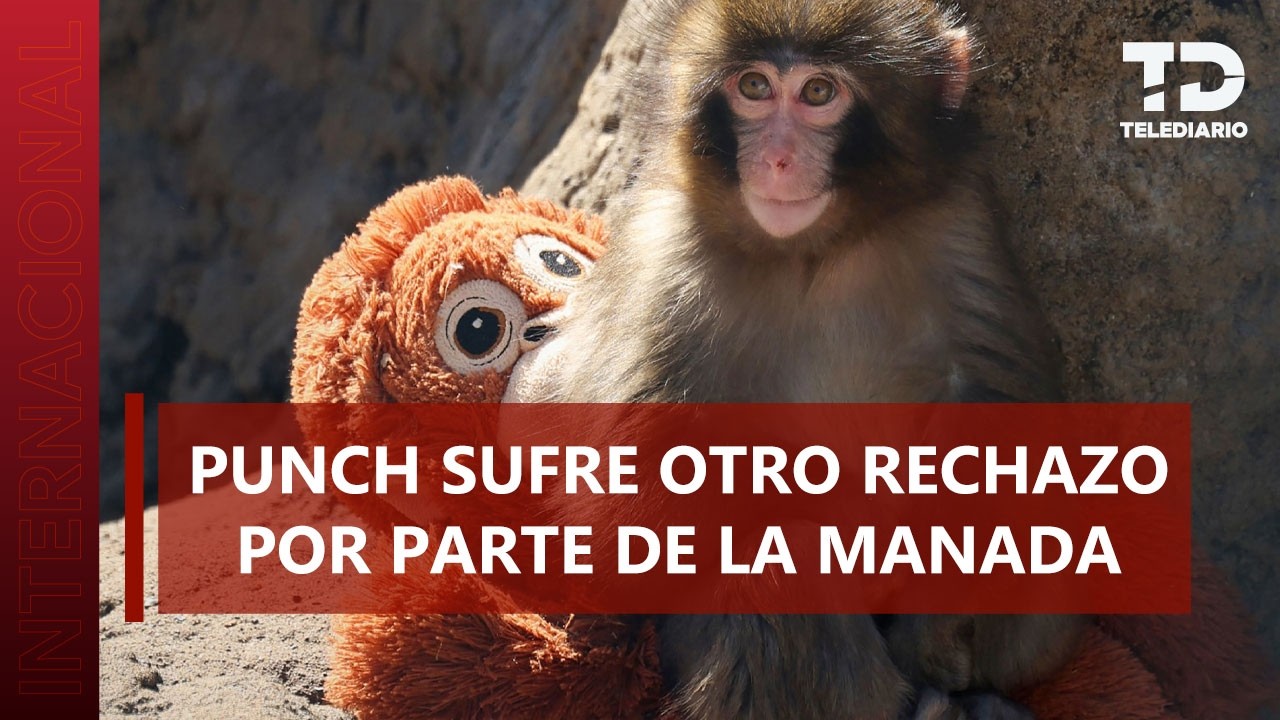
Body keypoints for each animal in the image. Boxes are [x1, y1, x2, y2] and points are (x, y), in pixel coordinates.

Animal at [529, 0, 1084, 717]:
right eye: (754, 87)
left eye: (819, 93)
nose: (777, 159)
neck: (814, 251)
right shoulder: (665, 254)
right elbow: (617, 517)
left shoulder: (960, 223)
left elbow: (1002, 413)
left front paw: (939, 619)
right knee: (774, 568)